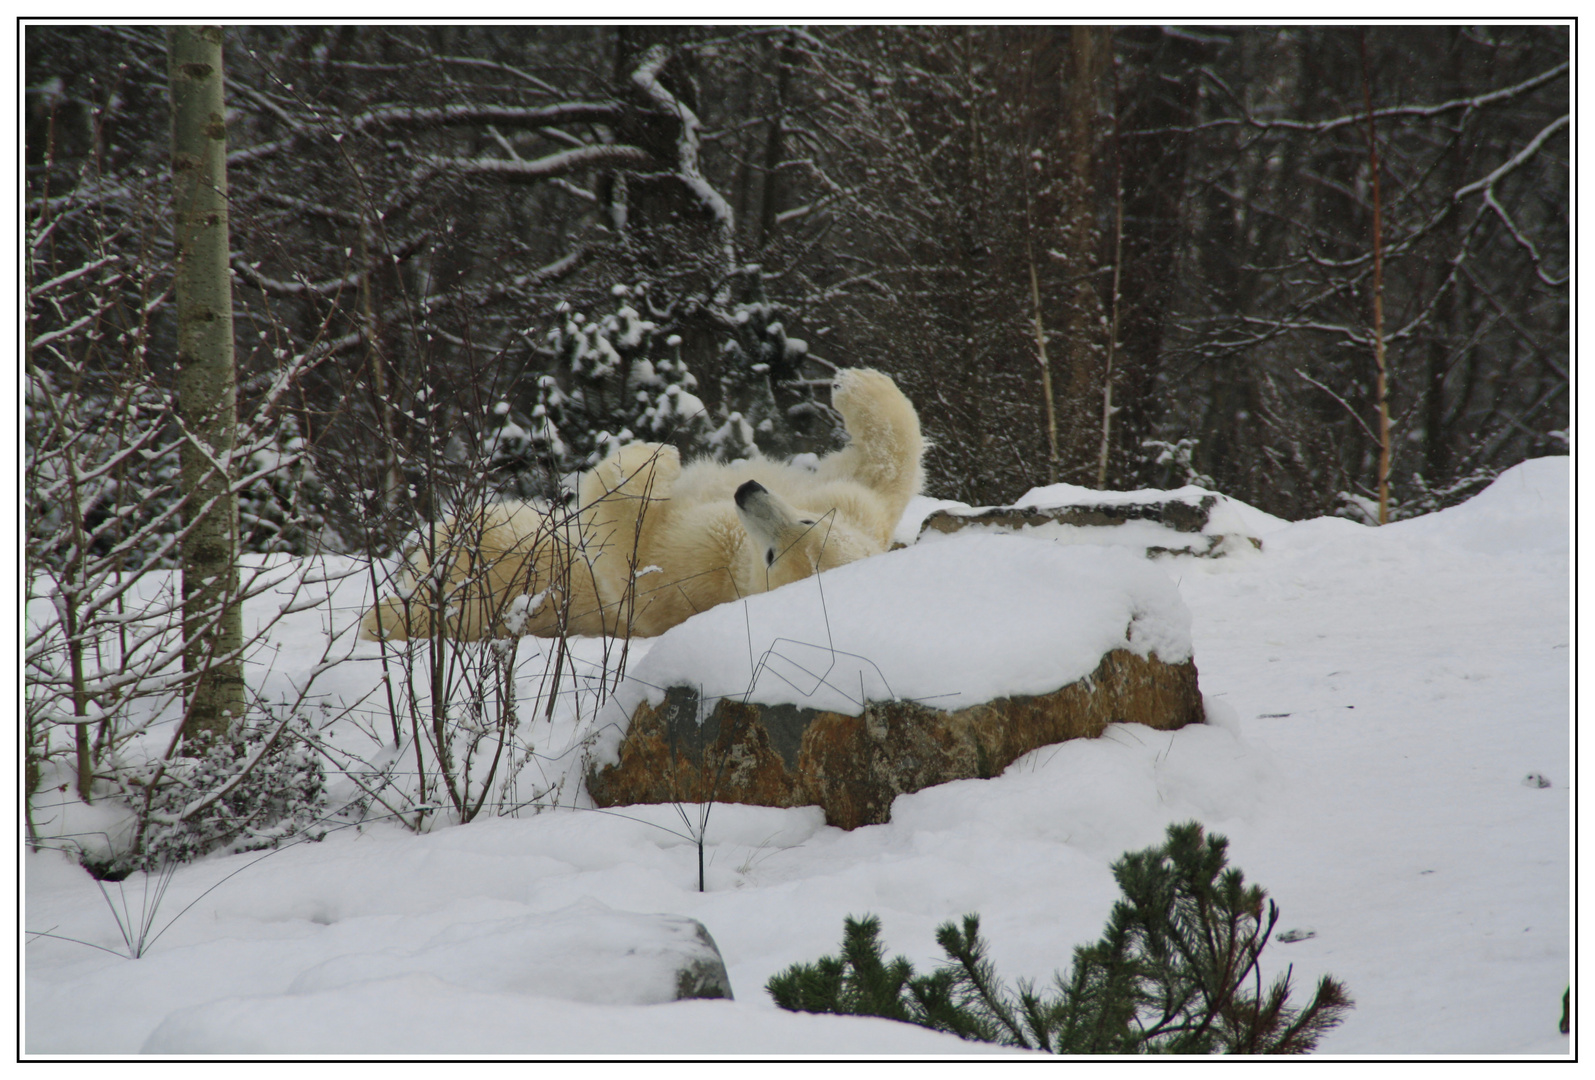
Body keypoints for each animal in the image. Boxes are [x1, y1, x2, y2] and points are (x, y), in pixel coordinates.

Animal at [354, 366, 918, 644]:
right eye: (803, 521)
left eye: (771, 557)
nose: (747, 492)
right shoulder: (854, 509)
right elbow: (881, 473)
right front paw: (857, 383)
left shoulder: (692, 576)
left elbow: (632, 546)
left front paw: (656, 457)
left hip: (487, 580)